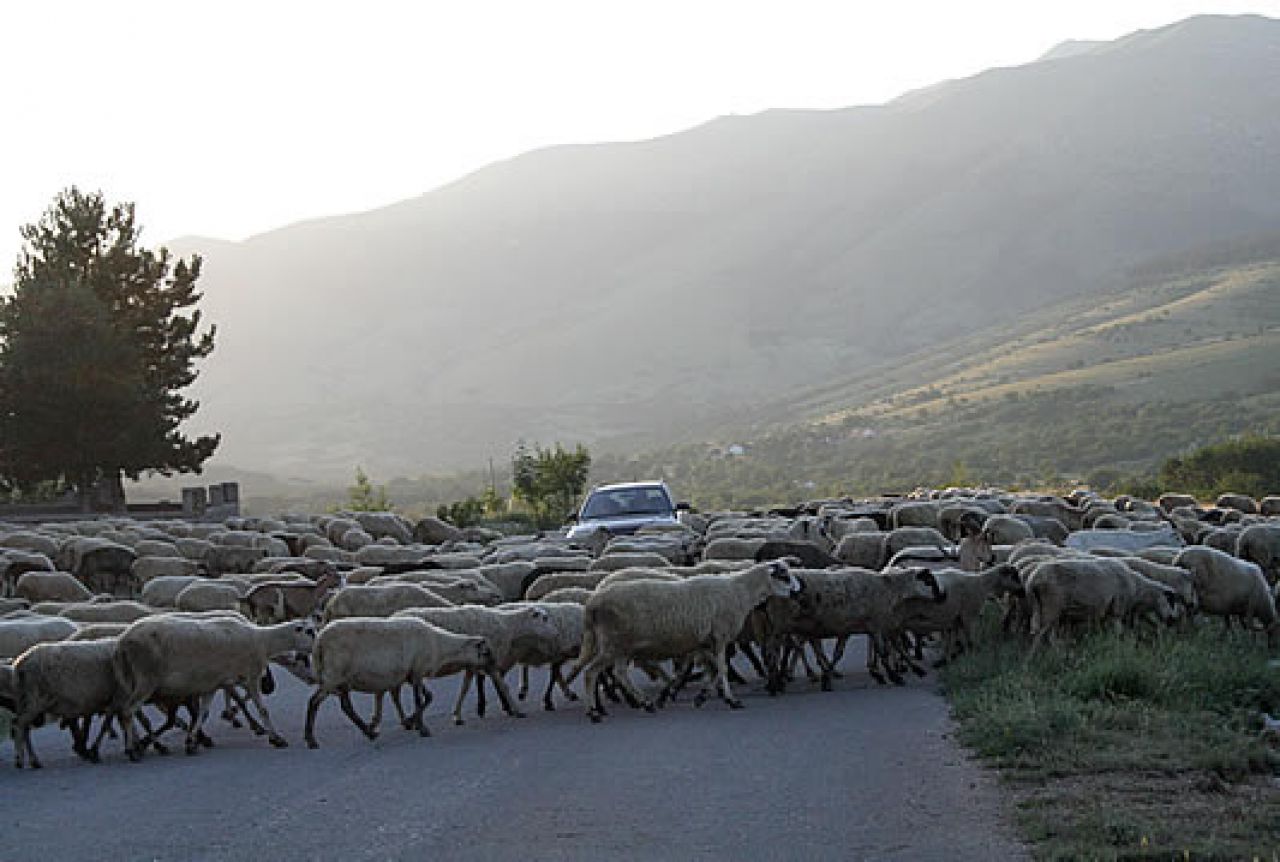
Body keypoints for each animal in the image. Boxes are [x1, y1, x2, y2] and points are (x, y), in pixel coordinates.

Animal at [303, 612, 494, 748]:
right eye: (486, 653)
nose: (493, 666)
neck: (439, 645)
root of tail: (319, 642)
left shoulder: (413, 674)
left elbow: (428, 697)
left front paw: (410, 721)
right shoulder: (417, 671)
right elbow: (419, 700)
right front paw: (422, 728)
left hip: (341, 680)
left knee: (346, 707)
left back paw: (369, 732)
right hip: (333, 676)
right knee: (314, 702)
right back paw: (311, 740)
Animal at [573, 558, 793, 717]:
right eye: (784, 575)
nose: (798, 590)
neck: (739, 592)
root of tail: (591, 604)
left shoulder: (706, 642)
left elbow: (714, 670)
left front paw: (701, 697)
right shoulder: (720, 636)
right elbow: (721, 668)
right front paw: (732, 700)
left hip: (621, 647)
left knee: (619, 673)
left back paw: (645, 703)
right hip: (613, 644)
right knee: (591, 673)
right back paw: (594, 712)